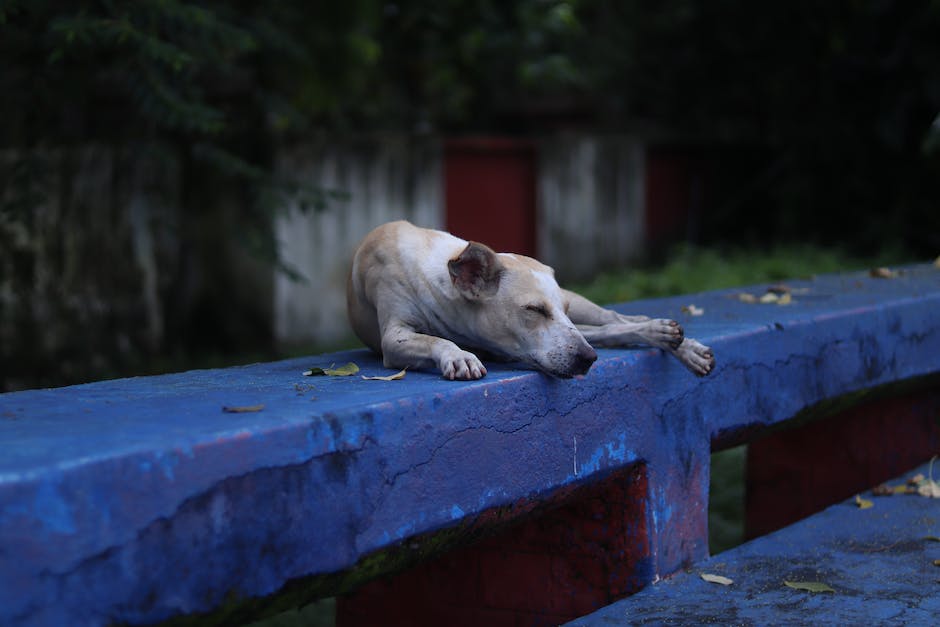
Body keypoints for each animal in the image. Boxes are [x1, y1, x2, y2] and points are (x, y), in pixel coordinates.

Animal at [348, 223, 716, 380]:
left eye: (555, 309)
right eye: (534, 310)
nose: (588, 360)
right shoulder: (394, 337)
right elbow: (434, 340)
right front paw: (458, 356)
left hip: (580, 309)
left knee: (614, 319)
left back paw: (678, 342)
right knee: (611, 329)